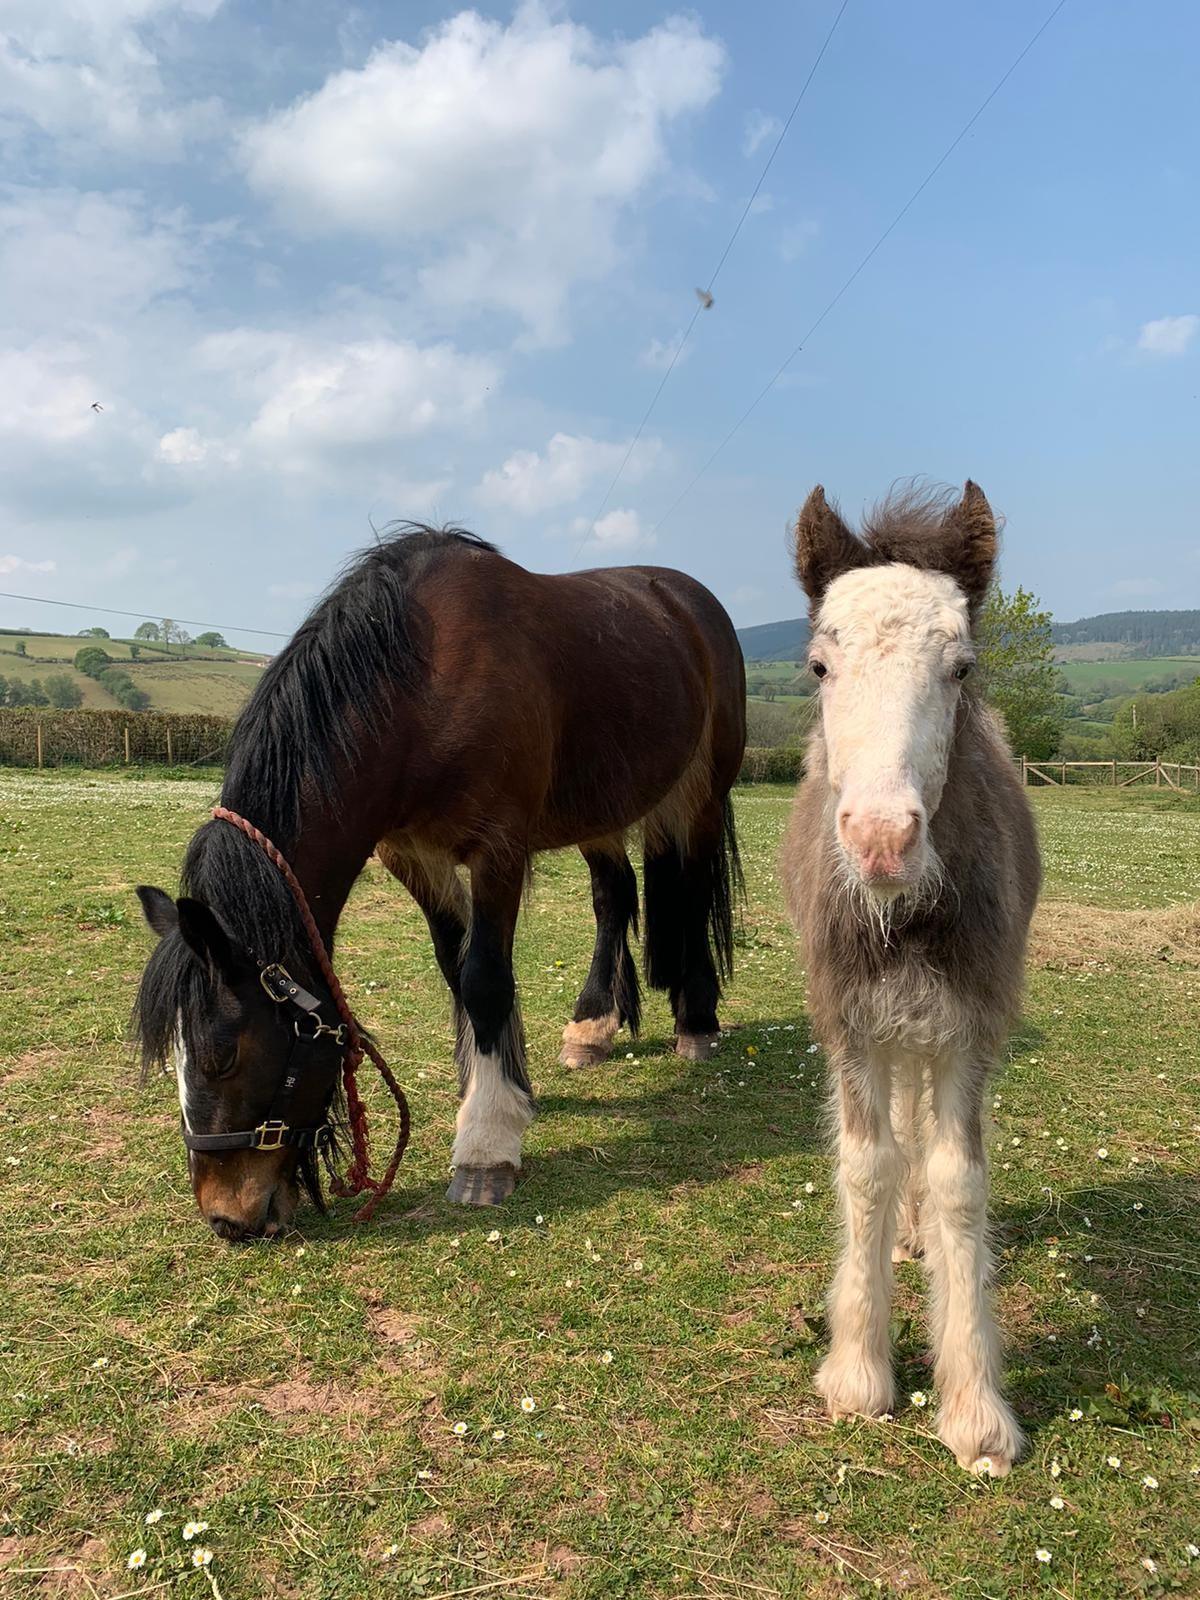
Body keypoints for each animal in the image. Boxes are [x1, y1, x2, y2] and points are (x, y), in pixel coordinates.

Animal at [136, 524, 748, 1235]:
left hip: (700, 794)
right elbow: (458, 971)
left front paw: (485, 1146)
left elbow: (484, 980)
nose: (226, 1217)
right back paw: (592, 1026)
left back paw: (696, 1021)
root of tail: (684, 599)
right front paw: (500, 1091)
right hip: (602, 807)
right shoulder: (412, 855)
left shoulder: (498, 851)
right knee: (614, 897)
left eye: (223, 1055)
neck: (422, 686)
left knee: (693, 892)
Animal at [780, 483, 1043, 1472]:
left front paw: (975, 1413)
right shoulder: (850, 1022)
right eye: (820, 666)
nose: (883, 840)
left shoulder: (970, 1024)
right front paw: (859, 1375)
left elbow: (959, 1177)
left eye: (961, 668)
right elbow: (865, 1166)